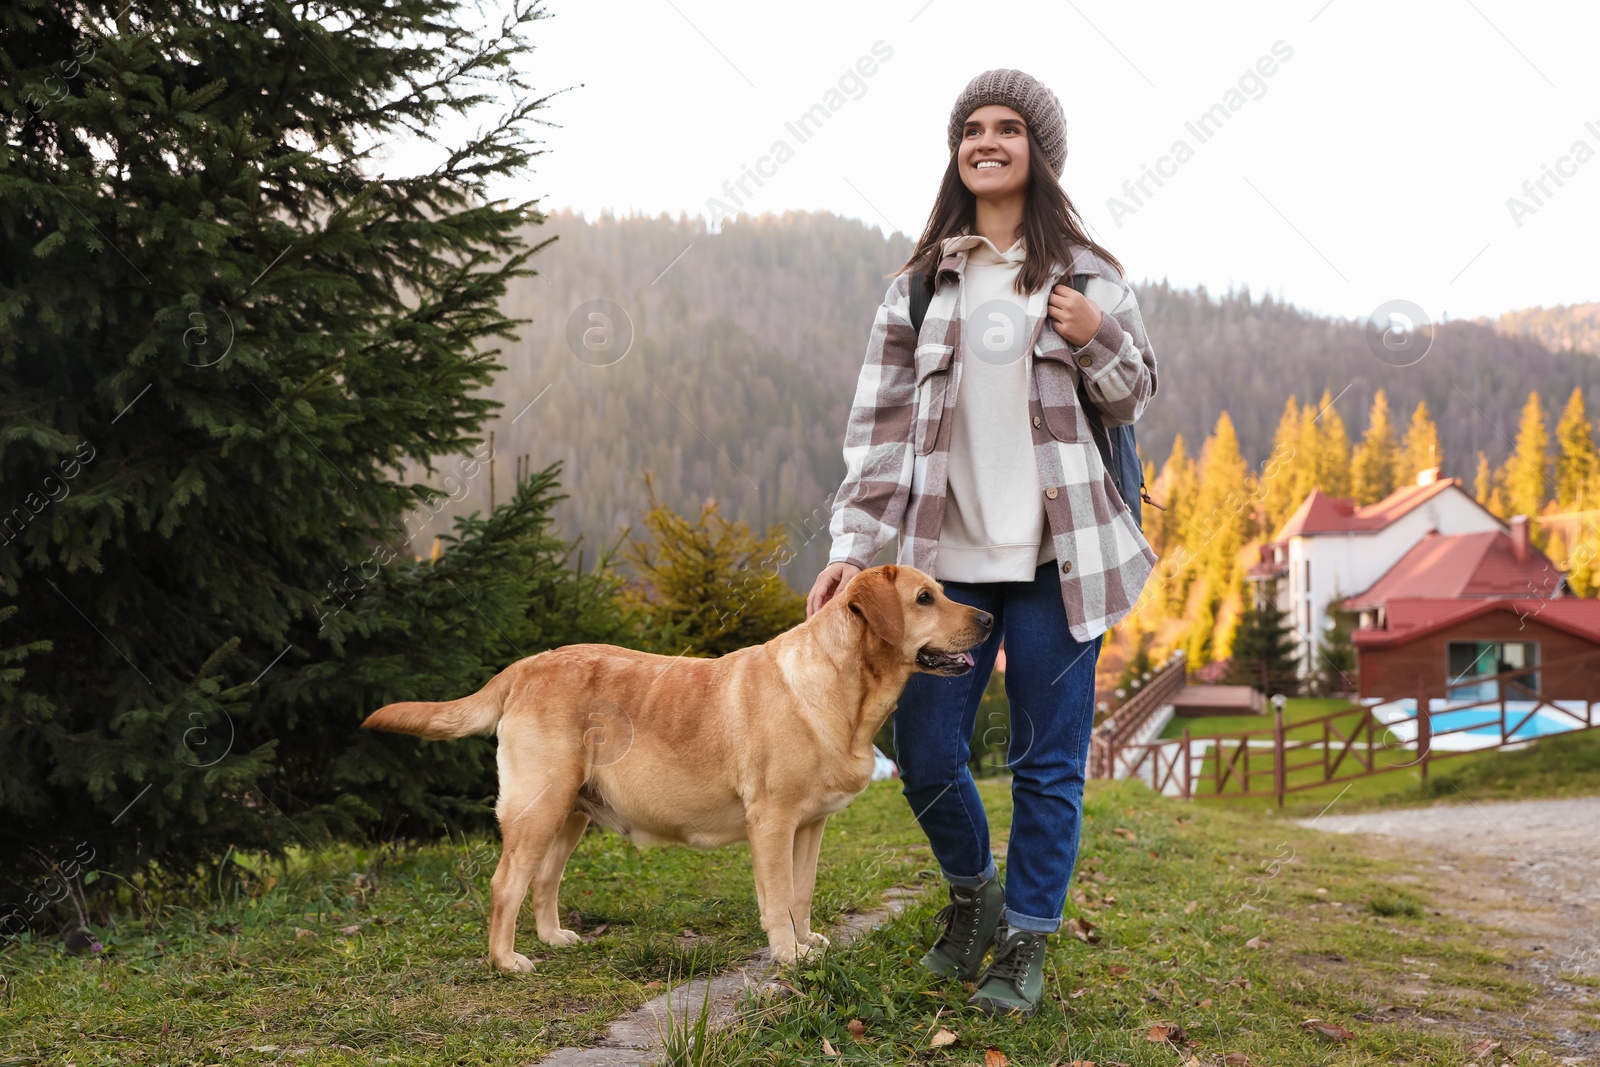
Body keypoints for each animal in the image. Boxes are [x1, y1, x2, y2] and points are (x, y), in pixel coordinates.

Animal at [363, 563, 985, 972]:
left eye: (941, 592)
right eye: (924, 598)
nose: (986, 615)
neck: (846, 690)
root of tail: (525, 665)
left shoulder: (811, 824)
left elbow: (802, 894)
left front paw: (807, 943)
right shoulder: (773, 821)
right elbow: (777, 898)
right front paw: (786, 955)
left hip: (572, 812)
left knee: (543, 880)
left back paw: (554, 938)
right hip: (539, 806)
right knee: (505, 883)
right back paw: (506, 959)